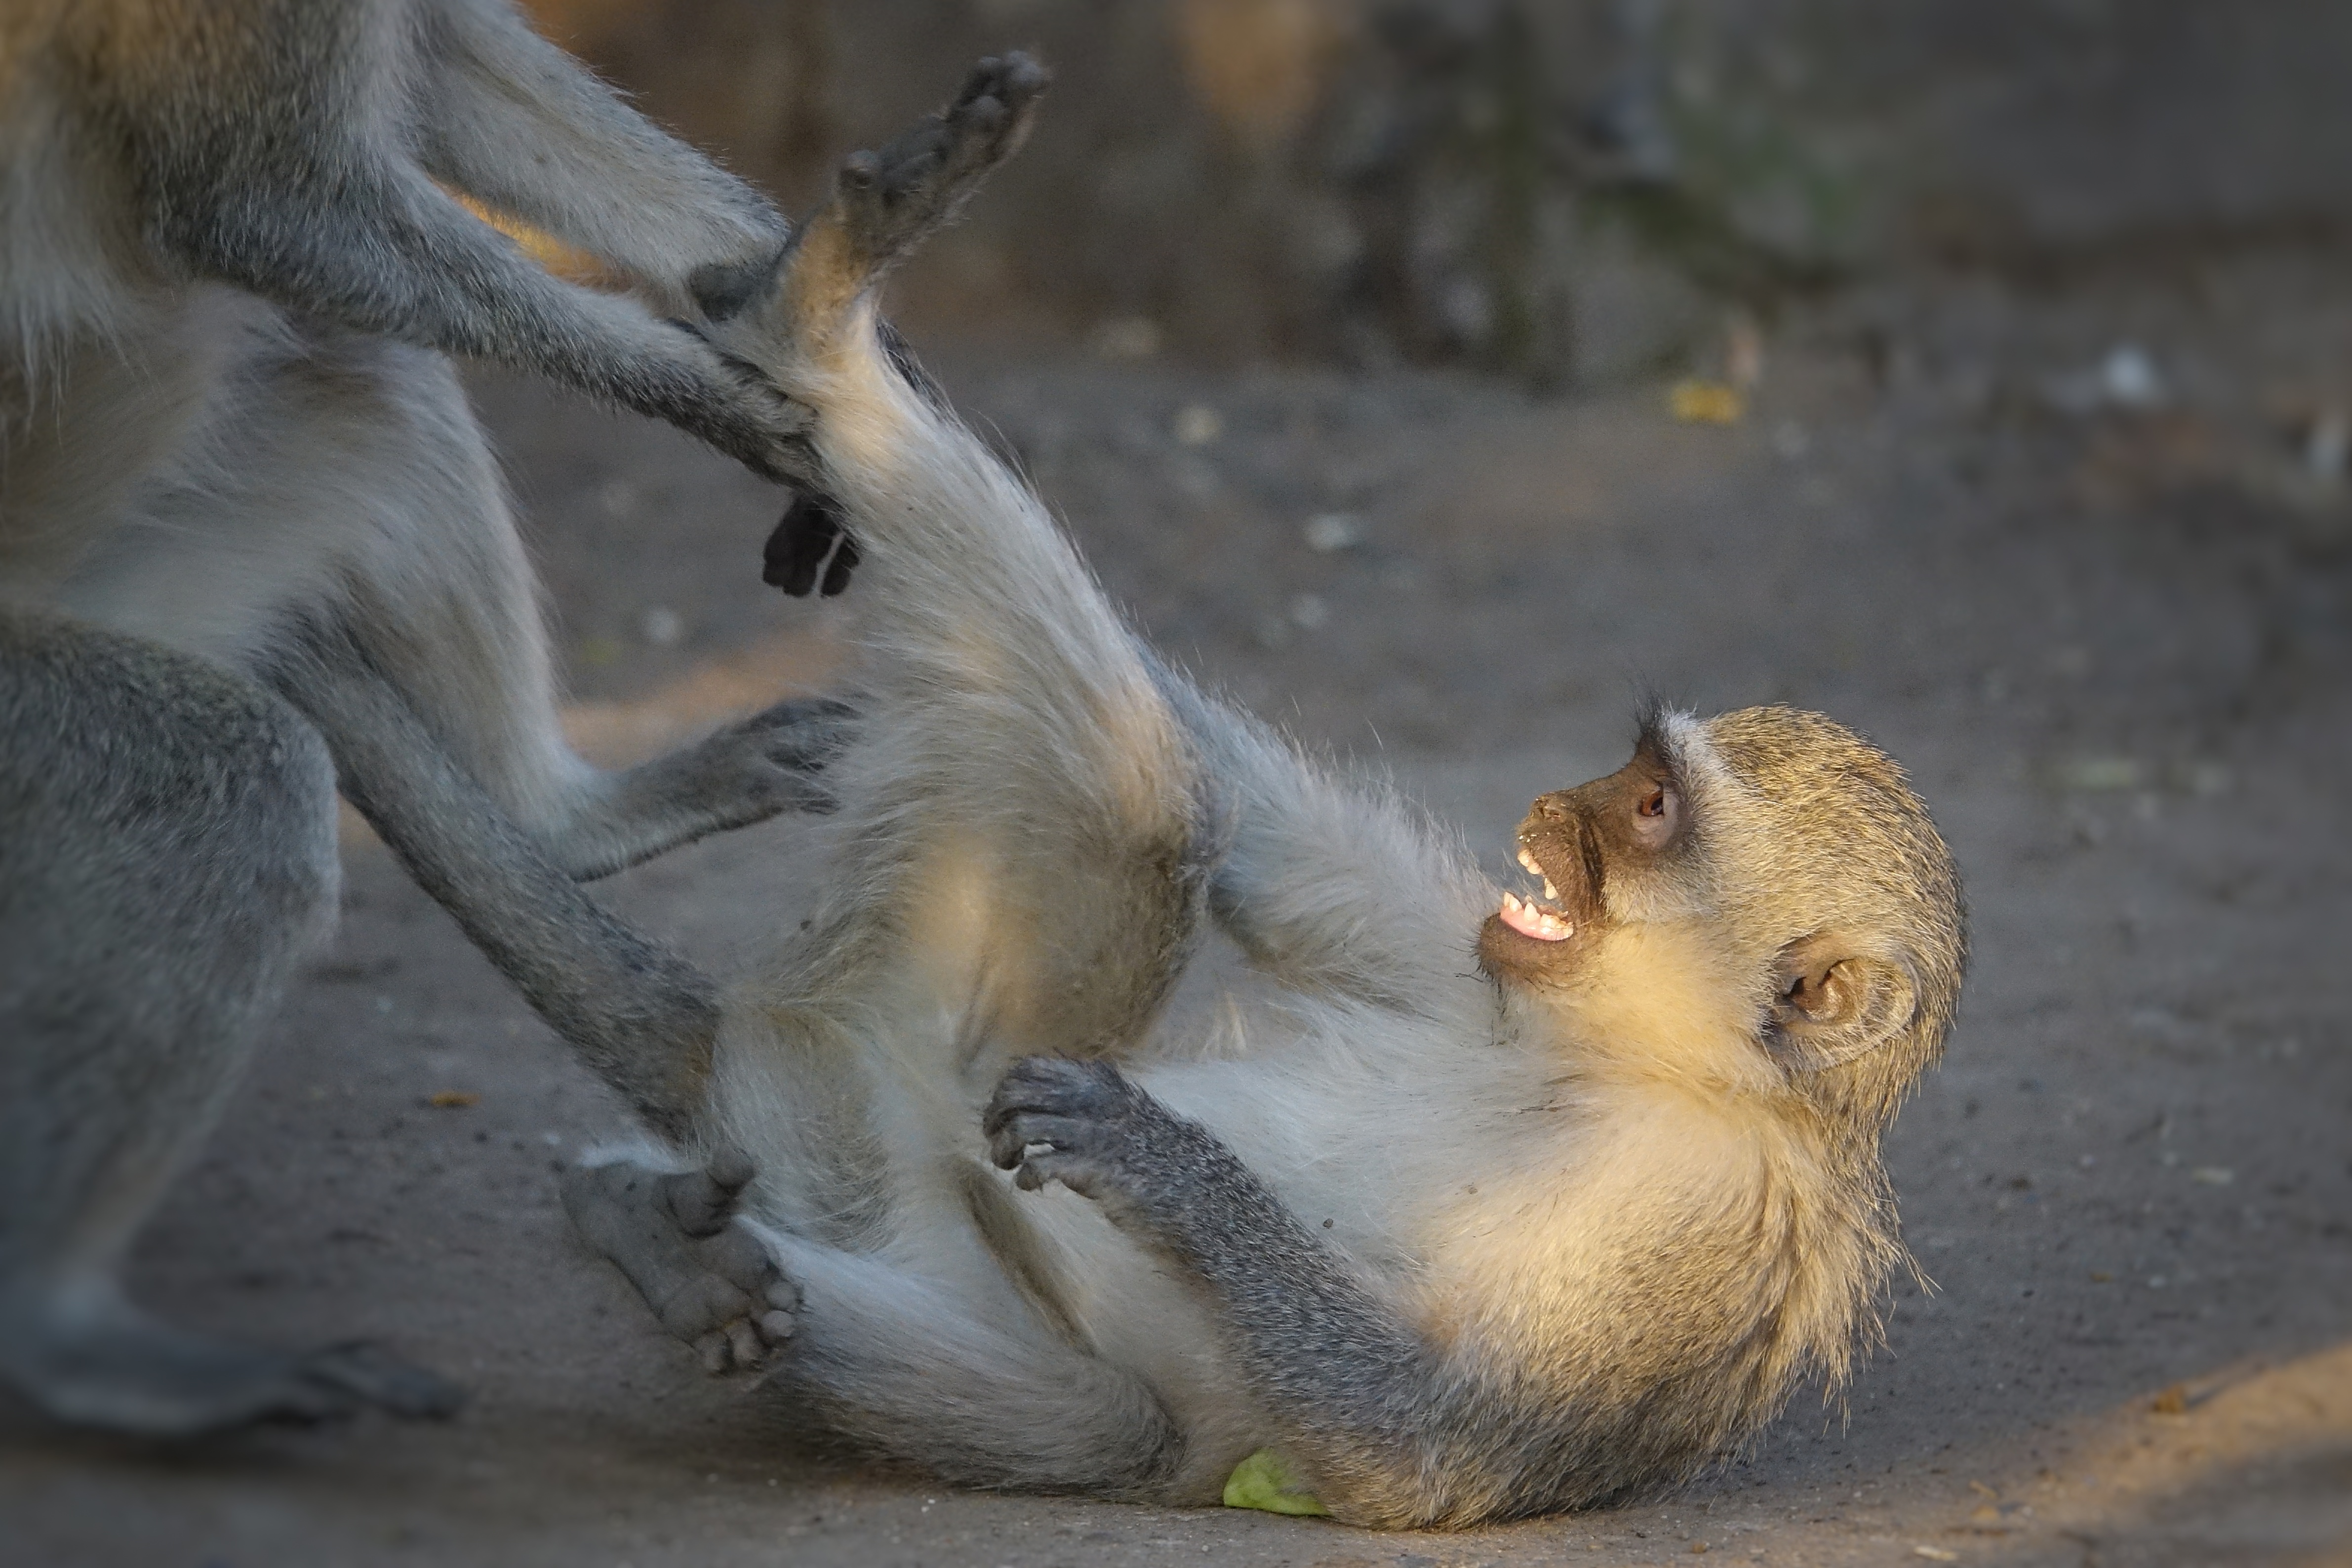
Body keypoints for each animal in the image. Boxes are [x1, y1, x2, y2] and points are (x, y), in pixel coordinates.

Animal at [0, 0, 857, 1436]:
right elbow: (270, 208)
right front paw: (725, 396)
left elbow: (444, 53)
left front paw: (808, 300)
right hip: (26, 719)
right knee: (231, 784)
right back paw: (66, 1330)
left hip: (134, 568)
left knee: (355, 366)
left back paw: (567, 819)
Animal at [297, 56, 1963, 1525]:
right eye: (1631, 775)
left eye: (1652, 812)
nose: (1556, 806)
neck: (1629, 1052)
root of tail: (788, 1046)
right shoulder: (1471, 945)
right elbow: (1273, 852)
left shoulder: (1712, 1223)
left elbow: (1418, 1450)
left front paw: (1166, 1165)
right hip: (893, 1055)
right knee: (1142, 776)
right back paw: (816, 319)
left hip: (879, 1175)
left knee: (1103, 1400)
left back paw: (652, 1239)